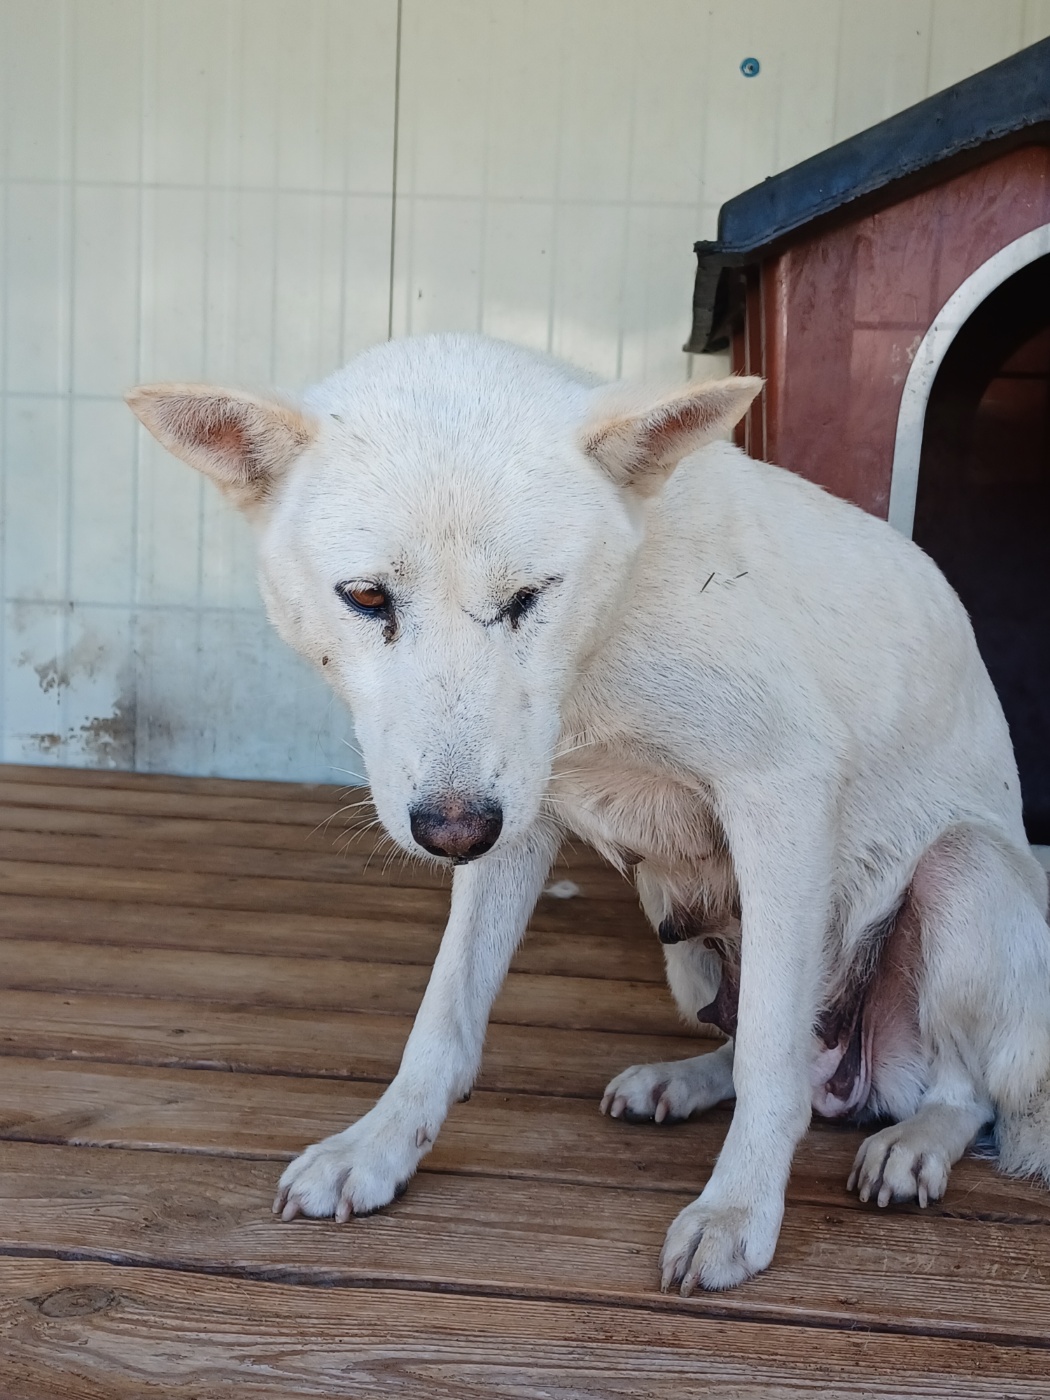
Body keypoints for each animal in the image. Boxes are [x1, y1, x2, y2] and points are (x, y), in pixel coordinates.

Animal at [129, 327, 1050, 1288]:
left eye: (530, 596)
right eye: (368, 597)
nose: (449, 835)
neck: (604, 640)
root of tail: (859, 1081)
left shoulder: (781, 793)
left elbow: (771, 1054)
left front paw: (737, 1211)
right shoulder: (510, 815)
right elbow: (444, 1016)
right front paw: (379, 1148)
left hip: (961, 874)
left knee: (960, 1089)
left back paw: (916, 1143)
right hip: (686, 948)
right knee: (763, 1044)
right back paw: (683, 1079)